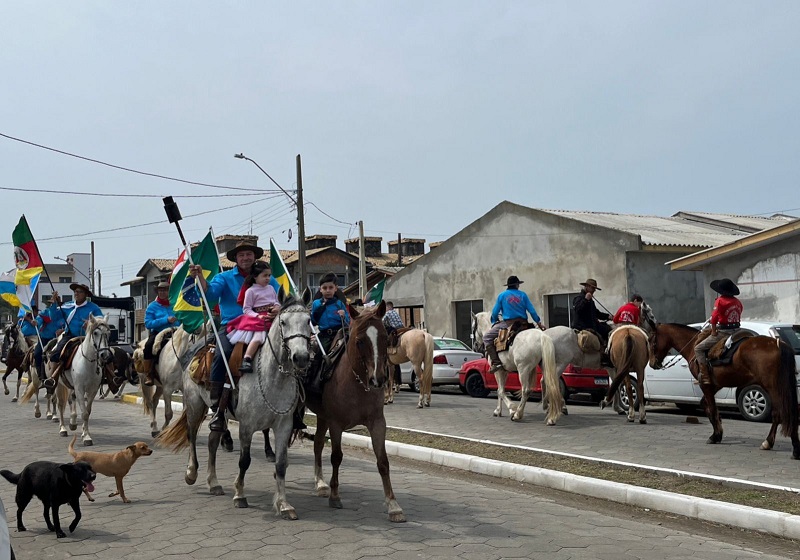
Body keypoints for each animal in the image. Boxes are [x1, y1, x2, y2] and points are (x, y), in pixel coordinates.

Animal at [159, 290, 312, 520]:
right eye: (283, 322)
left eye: (308, 320)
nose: (301, 357)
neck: (272, 377)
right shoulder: (246, 426)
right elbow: (244, 461)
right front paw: (240, 495)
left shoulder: (283, 426)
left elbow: (281, 464)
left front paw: (284, 505)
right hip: (195, 405)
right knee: (191, 435)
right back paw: (191, 473)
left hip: (217, 414)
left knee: (212, 442)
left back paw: (213, 483)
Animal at [304, 300, 406, 524]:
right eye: (359, 341)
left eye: (384, 338)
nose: (379, 379)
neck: (356, 382)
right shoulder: (336, 424)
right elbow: (336, 456)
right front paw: (335, 496)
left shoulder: (378, 423)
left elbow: (383, 461)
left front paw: (393, 505)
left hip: (322, 417)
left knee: (317, 444)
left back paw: (320, 483)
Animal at [648, 322, 800, 458]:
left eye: (651, 340)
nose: (652, 363)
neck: (693, 346)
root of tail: (779, 344)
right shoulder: (715, 385)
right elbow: (707, 406)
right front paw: (718, 431)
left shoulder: (705, 385)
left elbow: (712, 409)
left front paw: (715, 436)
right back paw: (792, 446)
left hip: (772, 387)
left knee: (779, 413)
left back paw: (771, 443)